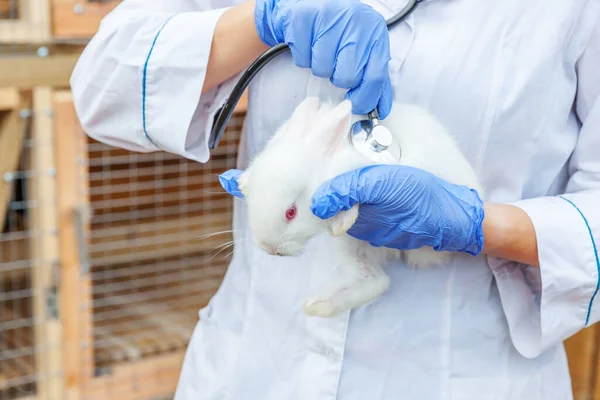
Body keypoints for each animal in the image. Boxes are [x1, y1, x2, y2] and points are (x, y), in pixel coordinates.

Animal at [230, 97, 482, 318]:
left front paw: (344, 220)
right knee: (377, 280)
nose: (270, 248)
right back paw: (318, 305)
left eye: (291, 212)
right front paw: (243, 182)